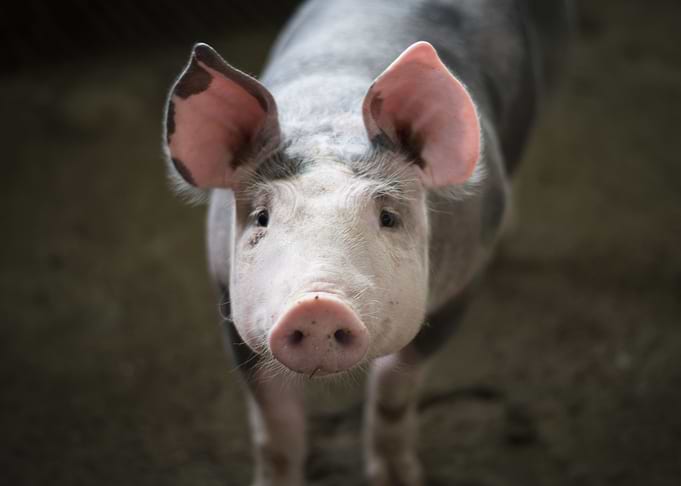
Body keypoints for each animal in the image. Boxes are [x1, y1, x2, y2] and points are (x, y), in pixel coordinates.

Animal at [162, 0, 571, 484]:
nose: (317, 305)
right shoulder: (227, 296)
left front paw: (398, 477)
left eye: (388, 217)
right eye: (262, 217)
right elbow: (275, 423)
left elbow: (394, 391)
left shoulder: (460, 286)